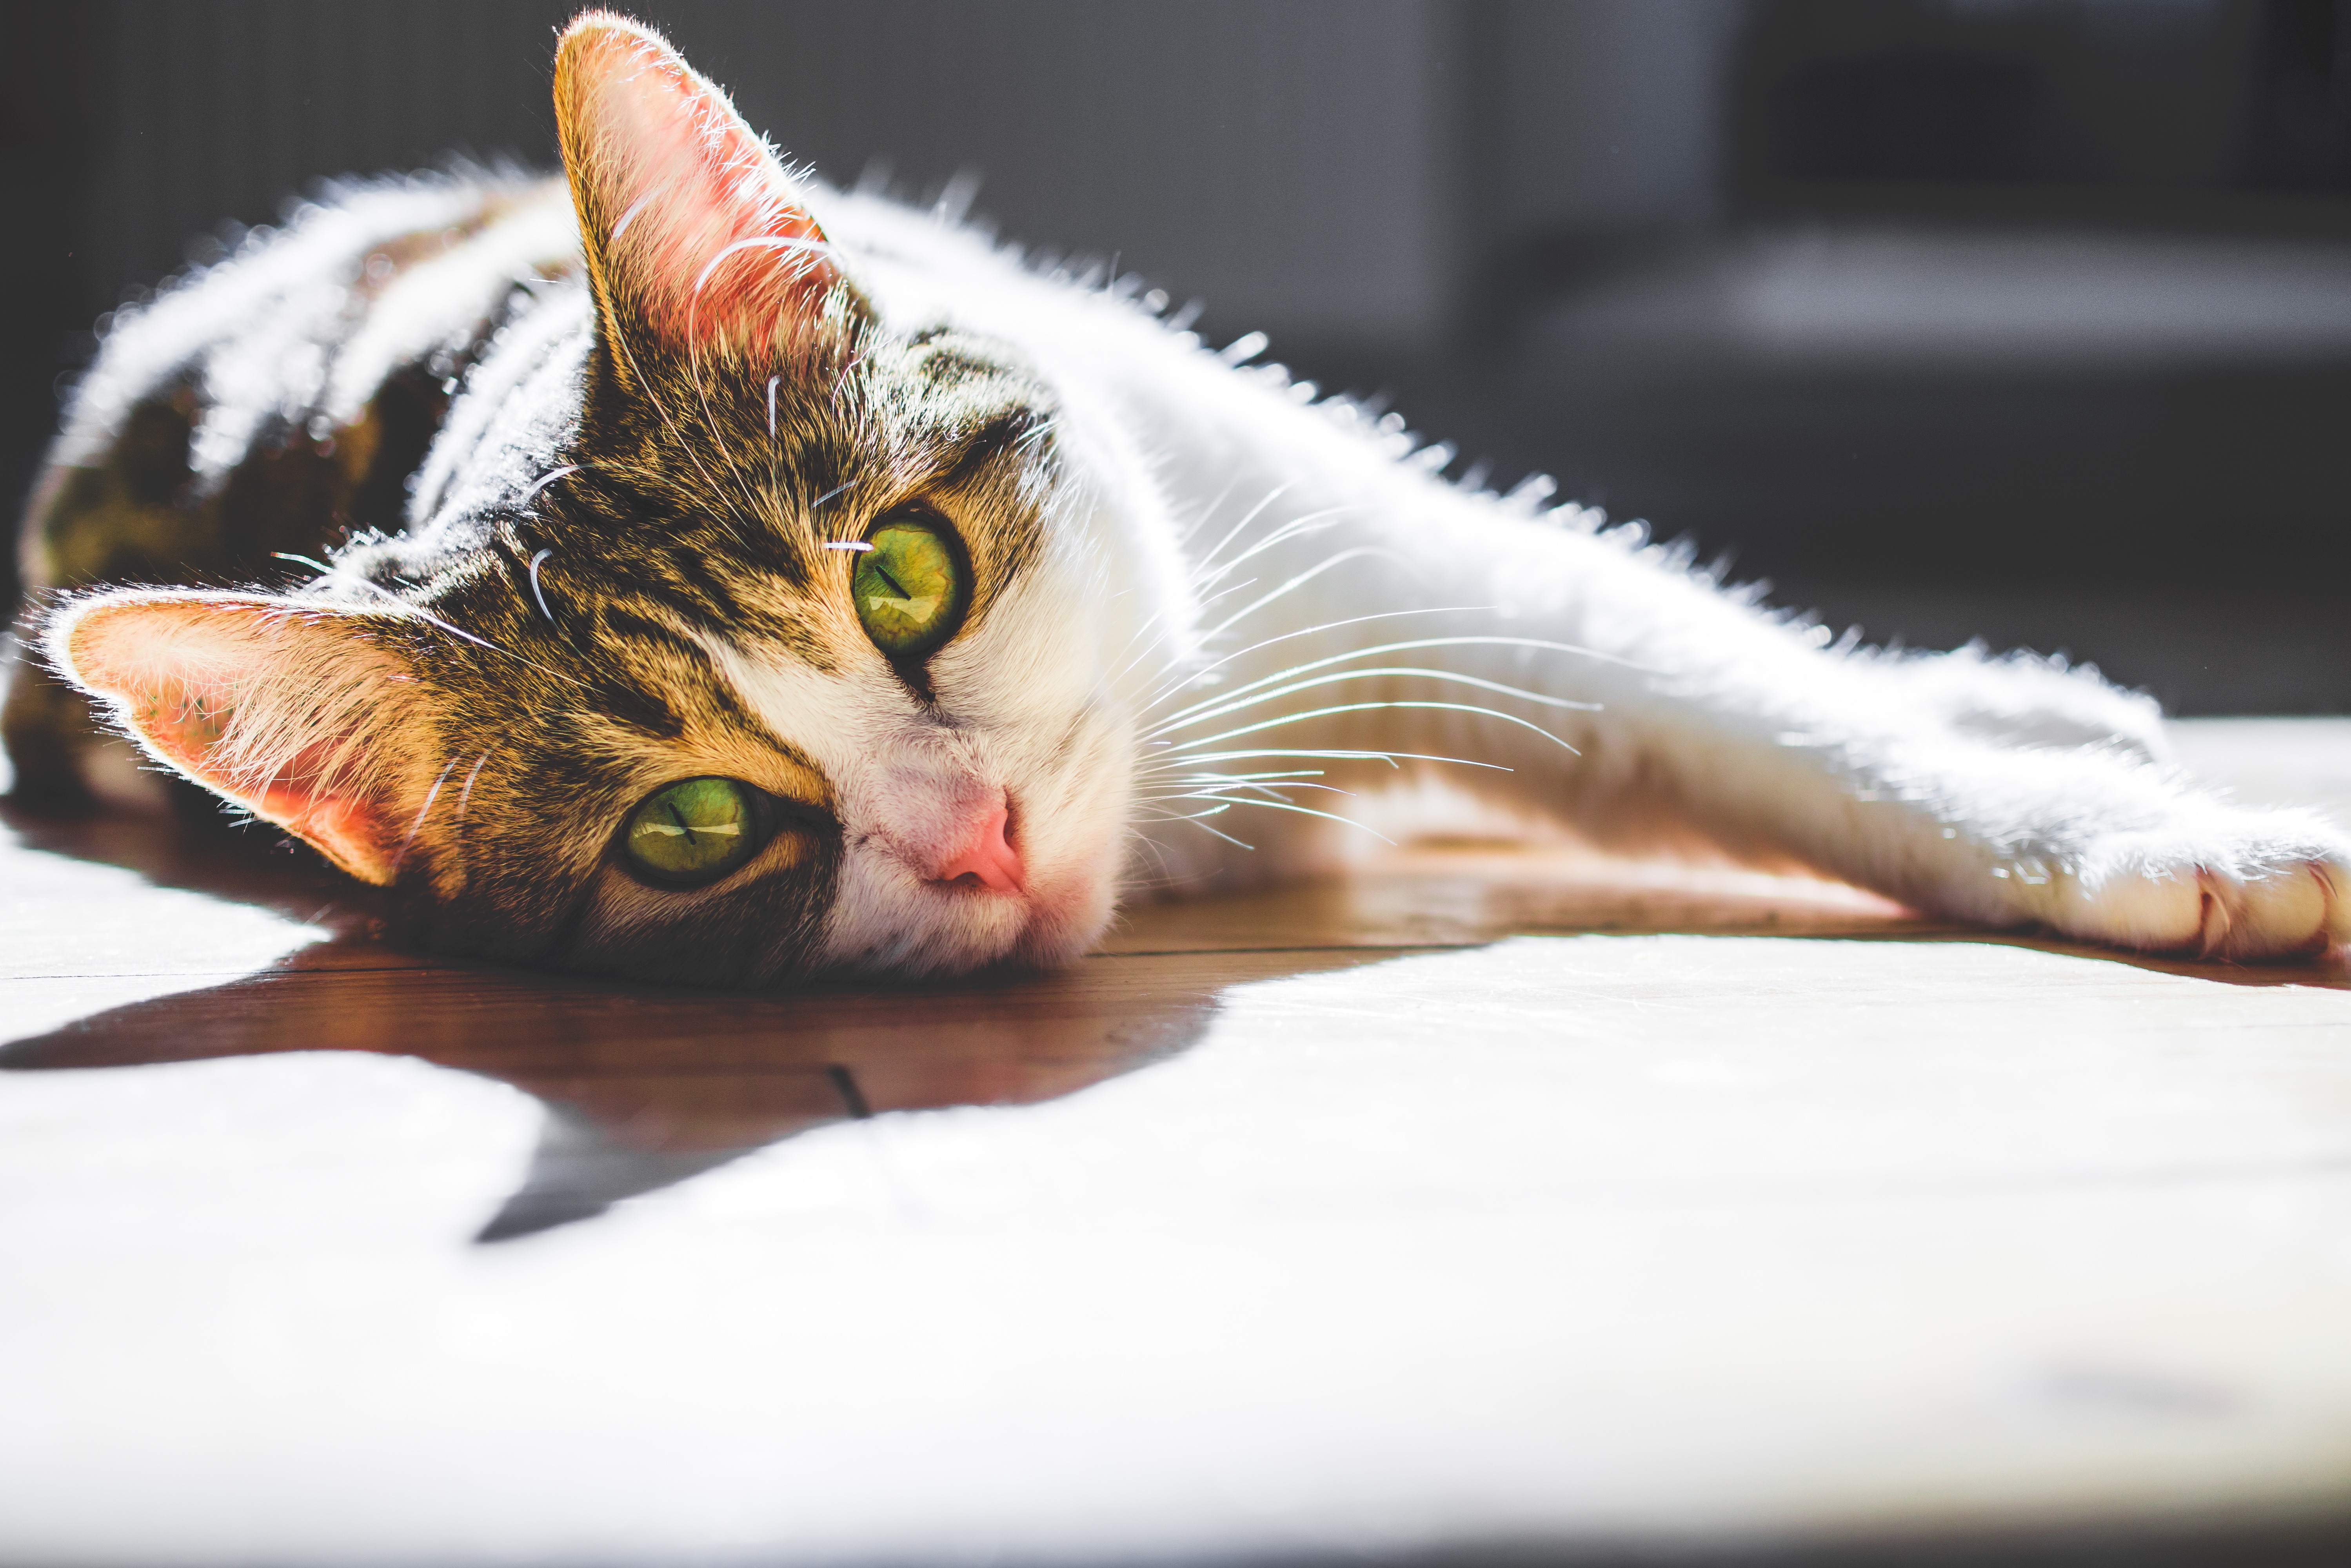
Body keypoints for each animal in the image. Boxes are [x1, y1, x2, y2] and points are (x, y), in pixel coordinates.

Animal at [4, 12, 2351, 987]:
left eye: (911, 578)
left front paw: (2123, 816)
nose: (976, 841)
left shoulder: (1362, 542)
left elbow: (1738, 703)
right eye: (690, 832)